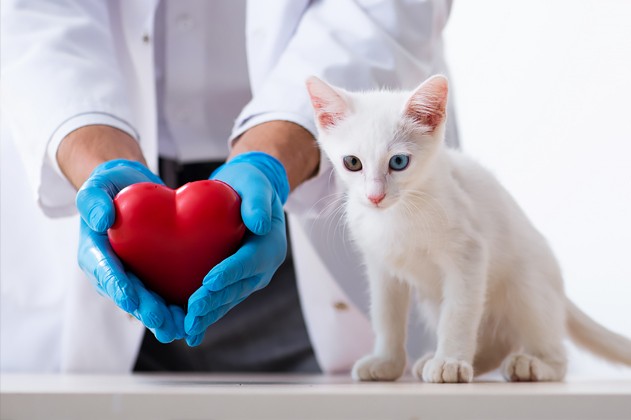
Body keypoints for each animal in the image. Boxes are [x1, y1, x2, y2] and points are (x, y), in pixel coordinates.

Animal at [306, 74, 631, 382]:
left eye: (398, 162)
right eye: (352, 162)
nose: (375, 196)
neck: (398, 215)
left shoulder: (468, 253)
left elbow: (459, 314)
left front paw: (449, 362)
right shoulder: (382, 268)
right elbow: (387, 317)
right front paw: (387, 363)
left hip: (527, 289)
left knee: (553, 352)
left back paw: (532, 364)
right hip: (434, 300)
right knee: (499, 343)